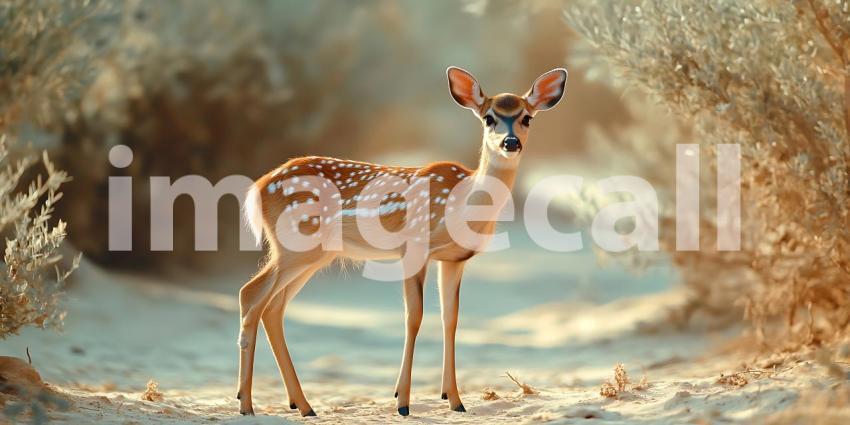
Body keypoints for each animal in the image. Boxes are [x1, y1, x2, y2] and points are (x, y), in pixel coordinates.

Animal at [236, 66, 567, 417]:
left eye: (527, 117)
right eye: (488, 117)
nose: (511, 142)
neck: (462, 200)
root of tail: (258, 187)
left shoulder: (454, 260)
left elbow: (451, 318)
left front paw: (454, 399)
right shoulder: (415, 246)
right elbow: (414, 317)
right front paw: (403, 401)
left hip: (312, 255)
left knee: (273, 308)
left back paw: (302, 405)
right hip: (295, 246)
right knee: (251, 294)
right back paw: (246, 404)